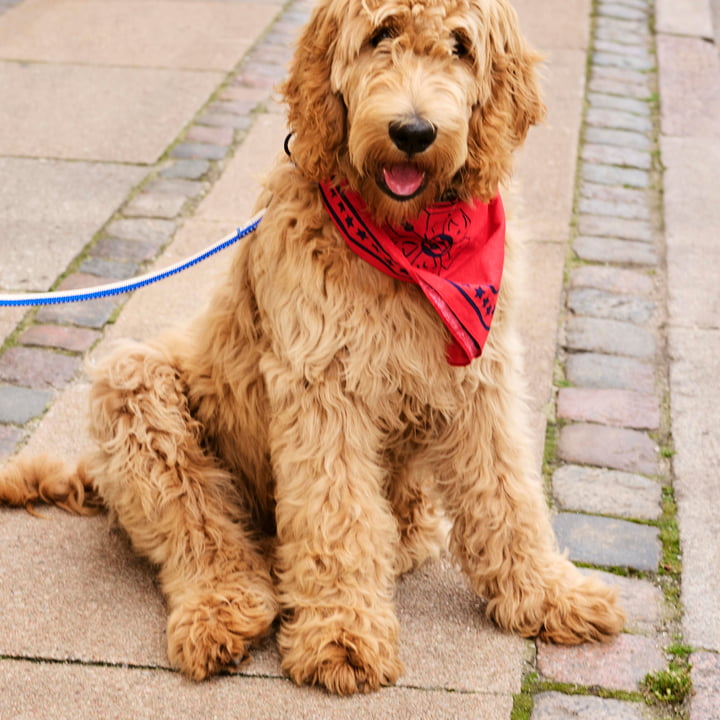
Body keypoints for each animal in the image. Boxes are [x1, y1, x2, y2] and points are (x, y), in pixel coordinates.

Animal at [0, 0, 624, 700]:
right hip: (135, 382)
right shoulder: (323, 385)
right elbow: (336, 514)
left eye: (461, 46)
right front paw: (341, 633)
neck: (404, 247)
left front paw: (548, 595)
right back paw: (224, 610)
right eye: (381, 34)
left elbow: (507, 493)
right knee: (203, 531)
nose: (413, 131)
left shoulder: (480, 380)